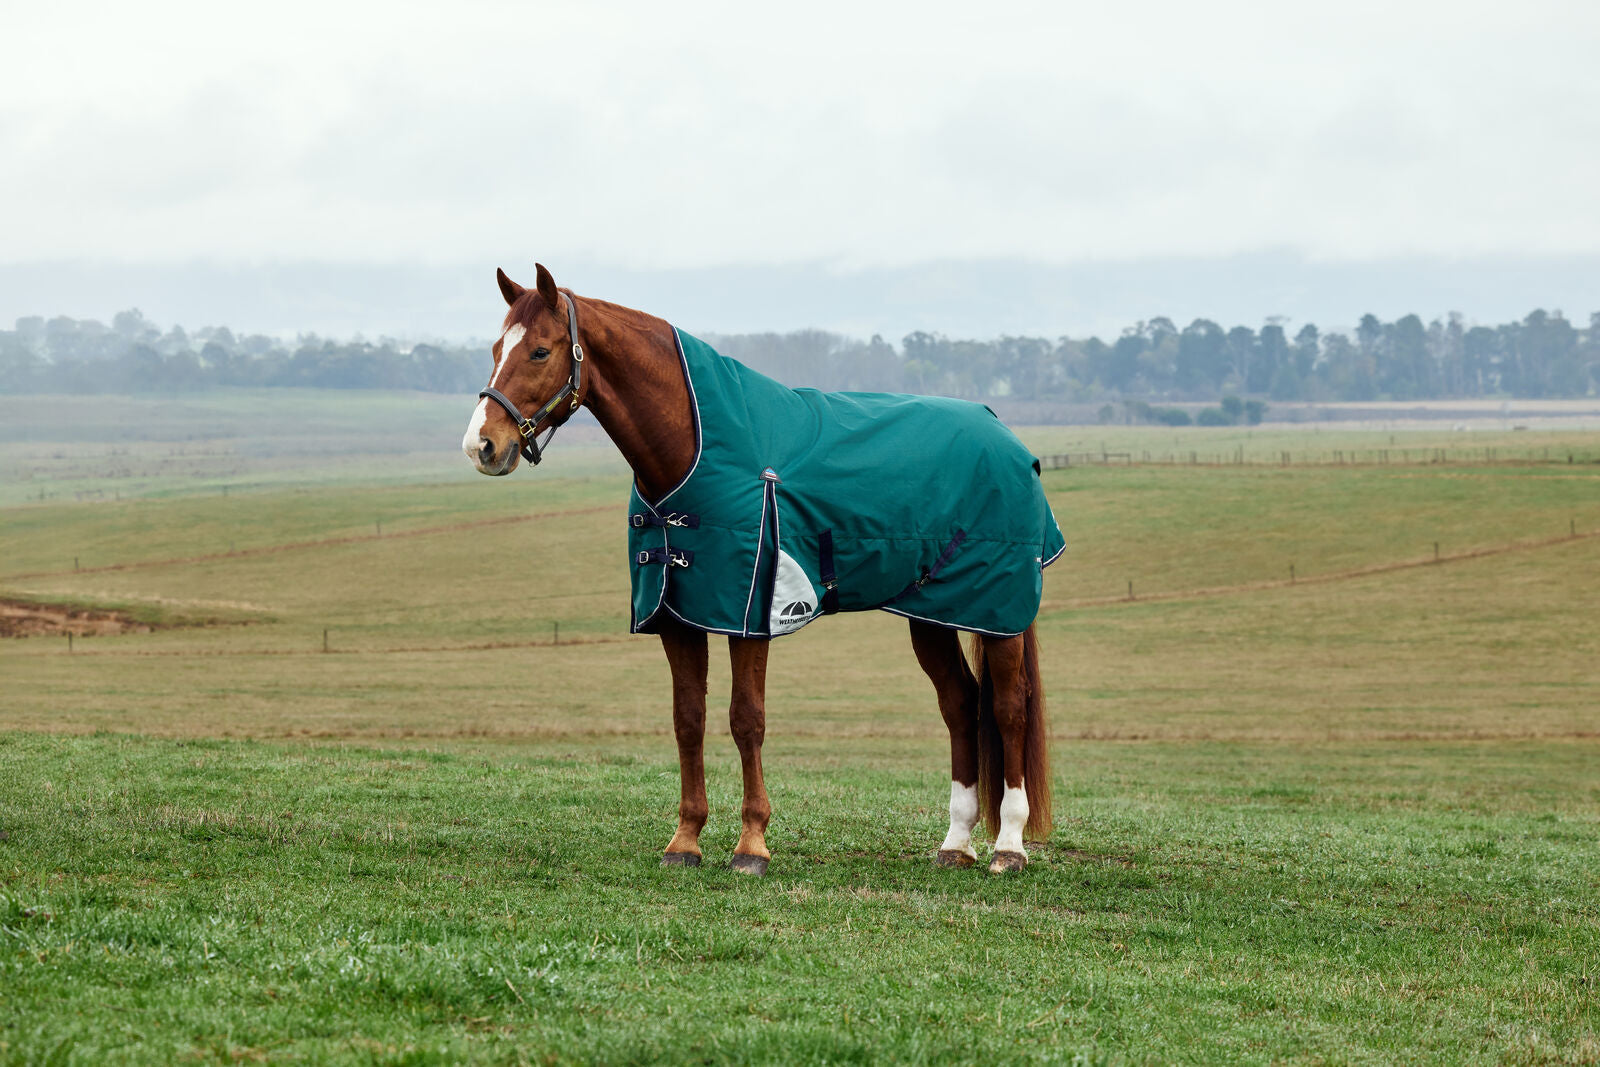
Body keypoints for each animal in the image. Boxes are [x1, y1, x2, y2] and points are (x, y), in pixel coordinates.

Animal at [462, 265, 1063, 875]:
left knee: (1008, 708)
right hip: (933, 613)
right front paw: (685, 840)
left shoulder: (750, 615)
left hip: (998, 613)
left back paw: (1008, 846)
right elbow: (688, 719)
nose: (482, 445)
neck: (693, 446)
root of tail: (1005, 435)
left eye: (540, 350)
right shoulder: (679, 617)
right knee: (961, 705)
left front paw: (751, 844)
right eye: (495, 349)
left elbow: (746, 719)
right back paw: (956, 843)